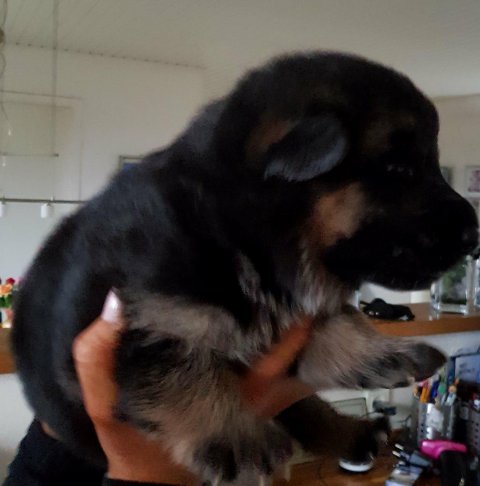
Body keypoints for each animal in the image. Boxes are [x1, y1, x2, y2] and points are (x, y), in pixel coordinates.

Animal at [12, 51, 478, 483]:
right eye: (400, 168)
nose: (474, 234)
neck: (237, 232)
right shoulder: (140, 320)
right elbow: (183, 372)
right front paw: (236, 436)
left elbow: (337, 328)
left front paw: (384, 352)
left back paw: (353, 432)